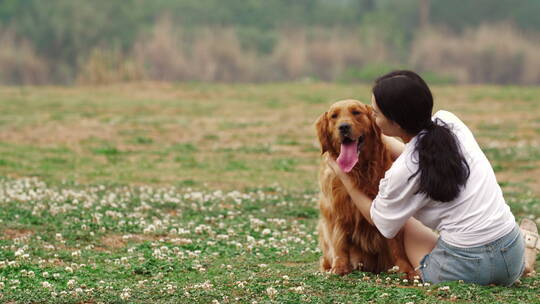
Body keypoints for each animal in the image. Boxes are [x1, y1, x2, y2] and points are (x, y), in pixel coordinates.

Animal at [316, 99, 414, 276]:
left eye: (356, 112)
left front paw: (406, 269)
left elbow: (396, 244)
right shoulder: (336, 209)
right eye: (334, 116)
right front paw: (340, 267)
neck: (359, 170)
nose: (343, 127)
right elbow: (339, 241)